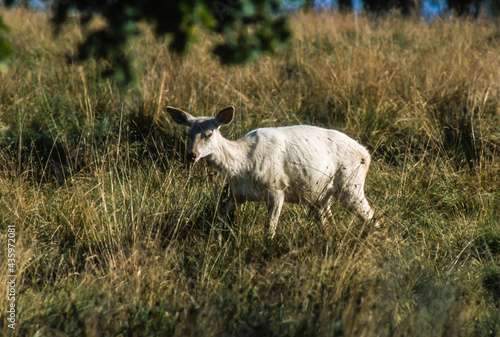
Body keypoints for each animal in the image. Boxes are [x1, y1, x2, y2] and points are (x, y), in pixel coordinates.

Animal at [166, 105, 380, 236]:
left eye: (209, 133)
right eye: (188, 133)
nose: (191, 155)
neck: (243, 164)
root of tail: (366, 154)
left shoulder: (277, 187)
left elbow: (270, 227)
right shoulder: (237, 193)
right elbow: (220, 214)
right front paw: (216, 241)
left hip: (351, 184)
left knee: (372, 217)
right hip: (321, 195)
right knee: (328, 222)